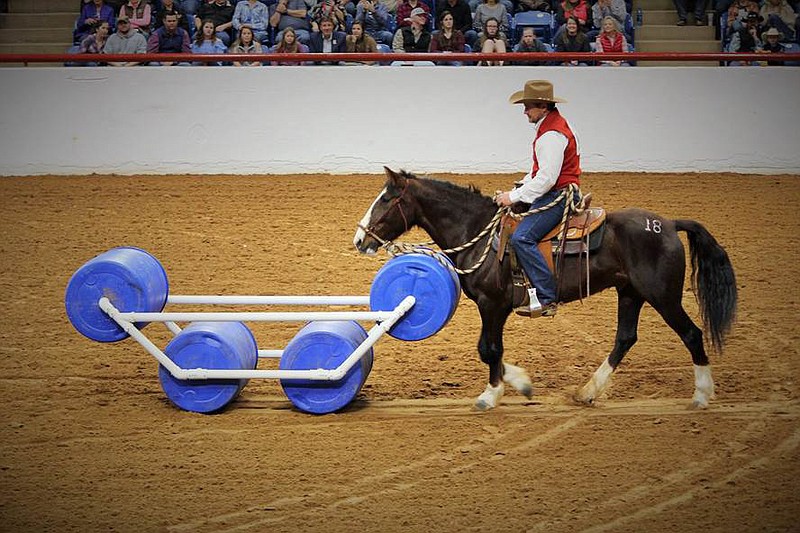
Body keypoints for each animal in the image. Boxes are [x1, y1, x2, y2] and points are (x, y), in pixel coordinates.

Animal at [354, 168, 740, 410]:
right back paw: (587, 392)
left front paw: (491, 395)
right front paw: (520, 383)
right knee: (625, 339)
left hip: (662, 296)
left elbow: (489, 349)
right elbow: (490, 351)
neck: (477, 231)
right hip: (630, 293)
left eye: (386, 199)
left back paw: (702, 395)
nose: (360, 239)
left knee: (691, 334)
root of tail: (669, 224)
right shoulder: (490, 307)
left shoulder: (492, 304)